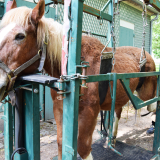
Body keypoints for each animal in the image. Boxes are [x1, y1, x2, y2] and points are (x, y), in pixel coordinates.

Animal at [0, 0, 156, 159]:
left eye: (20, 36)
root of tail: (147, 55)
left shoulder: (90, 112)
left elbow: (83, 148)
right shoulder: (59, 109)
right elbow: (61, 142)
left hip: (146, 94)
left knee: (152, 106)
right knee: (118, 111)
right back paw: (111, 140)